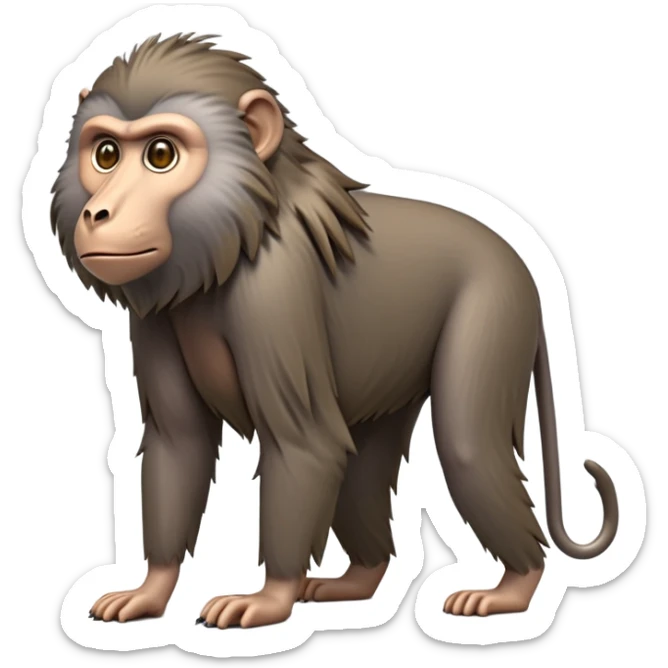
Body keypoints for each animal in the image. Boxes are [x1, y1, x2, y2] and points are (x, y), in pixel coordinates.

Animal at [49, 33, 618, 628]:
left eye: (161, 155)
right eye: (106, 154)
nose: (99, 214)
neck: (235, 239)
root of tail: (523, 263)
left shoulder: (274, 294)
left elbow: (303, 442)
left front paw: (269, 598)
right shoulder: (155, 314)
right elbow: (180, 442)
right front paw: (151, 589)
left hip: (495, 307)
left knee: (466, 445)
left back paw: (514, 586)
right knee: (365, 461)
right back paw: (359, 581)